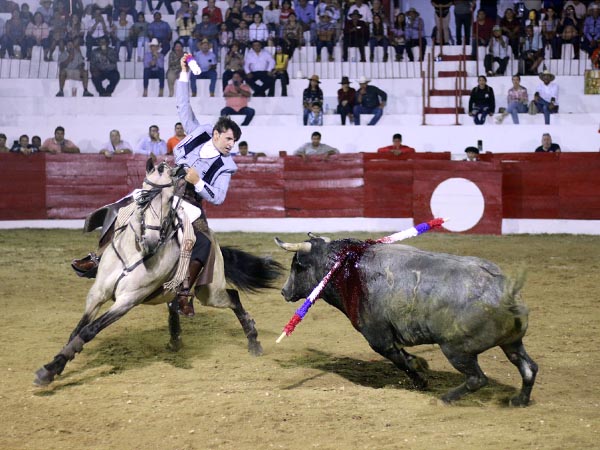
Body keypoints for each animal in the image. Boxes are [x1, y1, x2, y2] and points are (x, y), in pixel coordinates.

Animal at [276, 237, 540, 406]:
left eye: (298, 266)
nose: (284, 291)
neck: (348, 269)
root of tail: (505, 289)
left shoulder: (379, 338)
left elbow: (403, 361)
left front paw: (422, 376)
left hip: (456, 350)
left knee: (477, 378)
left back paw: (444, 399)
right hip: (512, 343)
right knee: (529, 368)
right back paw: (519, 401)